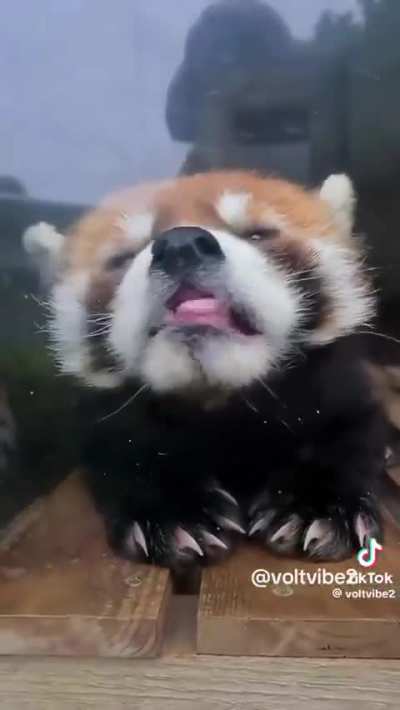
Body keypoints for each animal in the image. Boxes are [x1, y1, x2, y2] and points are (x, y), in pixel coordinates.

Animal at [23, 171, 386, 569]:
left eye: (258, 233)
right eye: (122, 256)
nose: (180, 245)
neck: (218, 401)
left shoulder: (338, 389)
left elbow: (349, 433)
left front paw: (317, 504)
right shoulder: (105, 422)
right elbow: (122, 450)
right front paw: (175, 510)